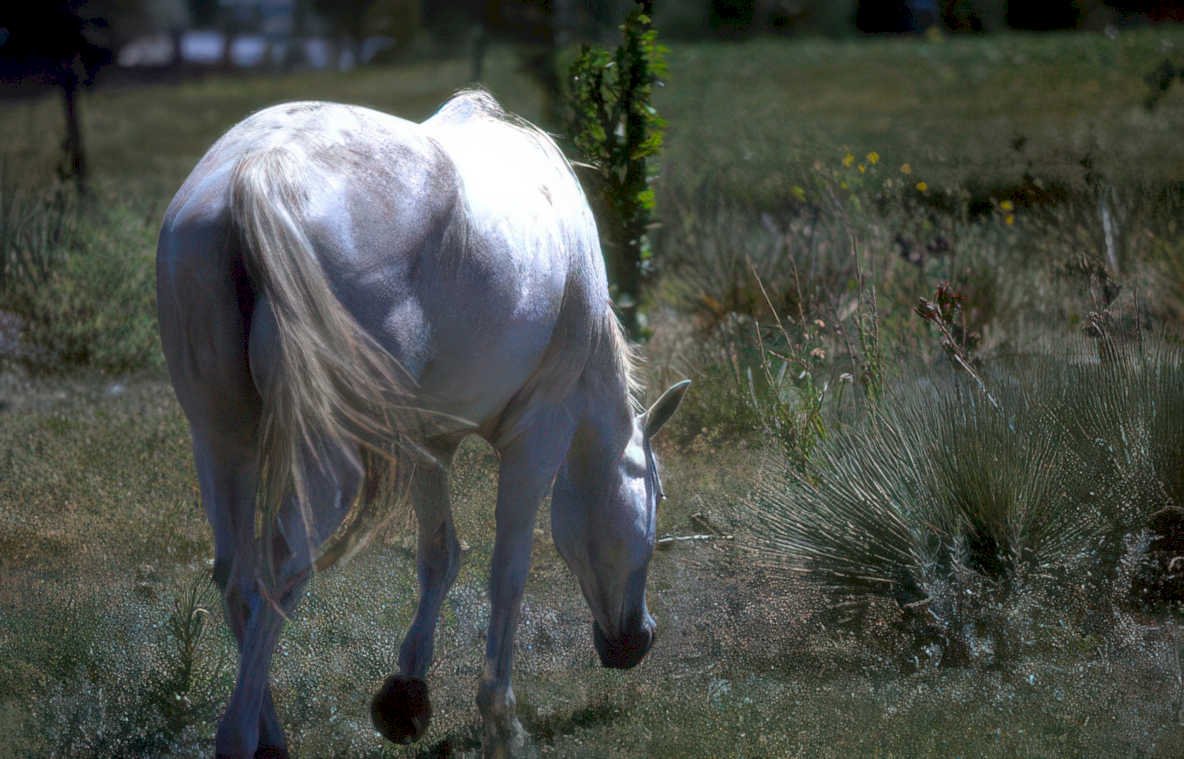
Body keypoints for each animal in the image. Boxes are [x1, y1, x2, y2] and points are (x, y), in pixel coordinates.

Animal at [155, 90, 688, 758]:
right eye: (658, 497)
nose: (634, 641)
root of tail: (255, 176)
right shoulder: (538, 435)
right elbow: (508, 570)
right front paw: (501, 722)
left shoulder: (427, 439)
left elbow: (440, 555)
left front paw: (407, 695)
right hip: (328, 458)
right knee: (283, 571)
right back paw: (239, 734)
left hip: (223, 440)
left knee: (238, 576)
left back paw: (269, 735)